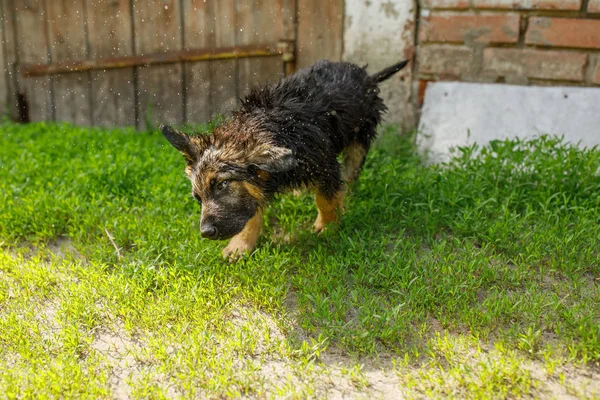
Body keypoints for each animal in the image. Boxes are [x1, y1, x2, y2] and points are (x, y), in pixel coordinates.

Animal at [162, 58, 410, 260]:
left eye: (222, 184)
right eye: (198, 198)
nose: (206, 233)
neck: (278, 128)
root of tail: (366, 76)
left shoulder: (324, 164)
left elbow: (325, 199)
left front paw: (327, 226)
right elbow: (251, 210)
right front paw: (241, 244)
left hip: (359, 138)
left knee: (350, 176)